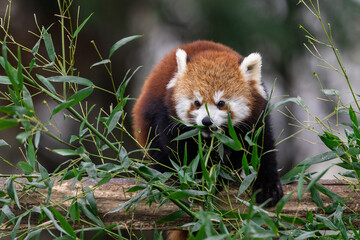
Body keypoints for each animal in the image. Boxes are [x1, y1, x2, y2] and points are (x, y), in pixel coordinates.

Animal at [134, 40, 282, 207]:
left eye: (221, 103)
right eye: (197, 103)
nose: (206, 121)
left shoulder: (257, 118)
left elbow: (262, 147)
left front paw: (268, 186)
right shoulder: (167, 116)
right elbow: (179, 151)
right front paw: (200, 179)